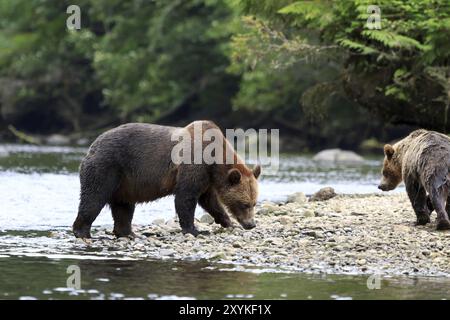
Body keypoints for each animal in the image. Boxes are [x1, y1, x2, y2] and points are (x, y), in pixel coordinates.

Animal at [72, 120, 262, 238]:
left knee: (123, 207)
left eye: (254, 203)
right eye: (245, 204)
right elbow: (186, 197)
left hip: (125, 182)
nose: (251, 224)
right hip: (107, 167)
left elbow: (210, 201)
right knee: (94, 197)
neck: (214, 159)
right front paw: (195, 230)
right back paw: (82, 232)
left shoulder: (207, 178)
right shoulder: (194, 164)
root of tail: (92, 146)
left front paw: (227, 222)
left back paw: (128, 233)